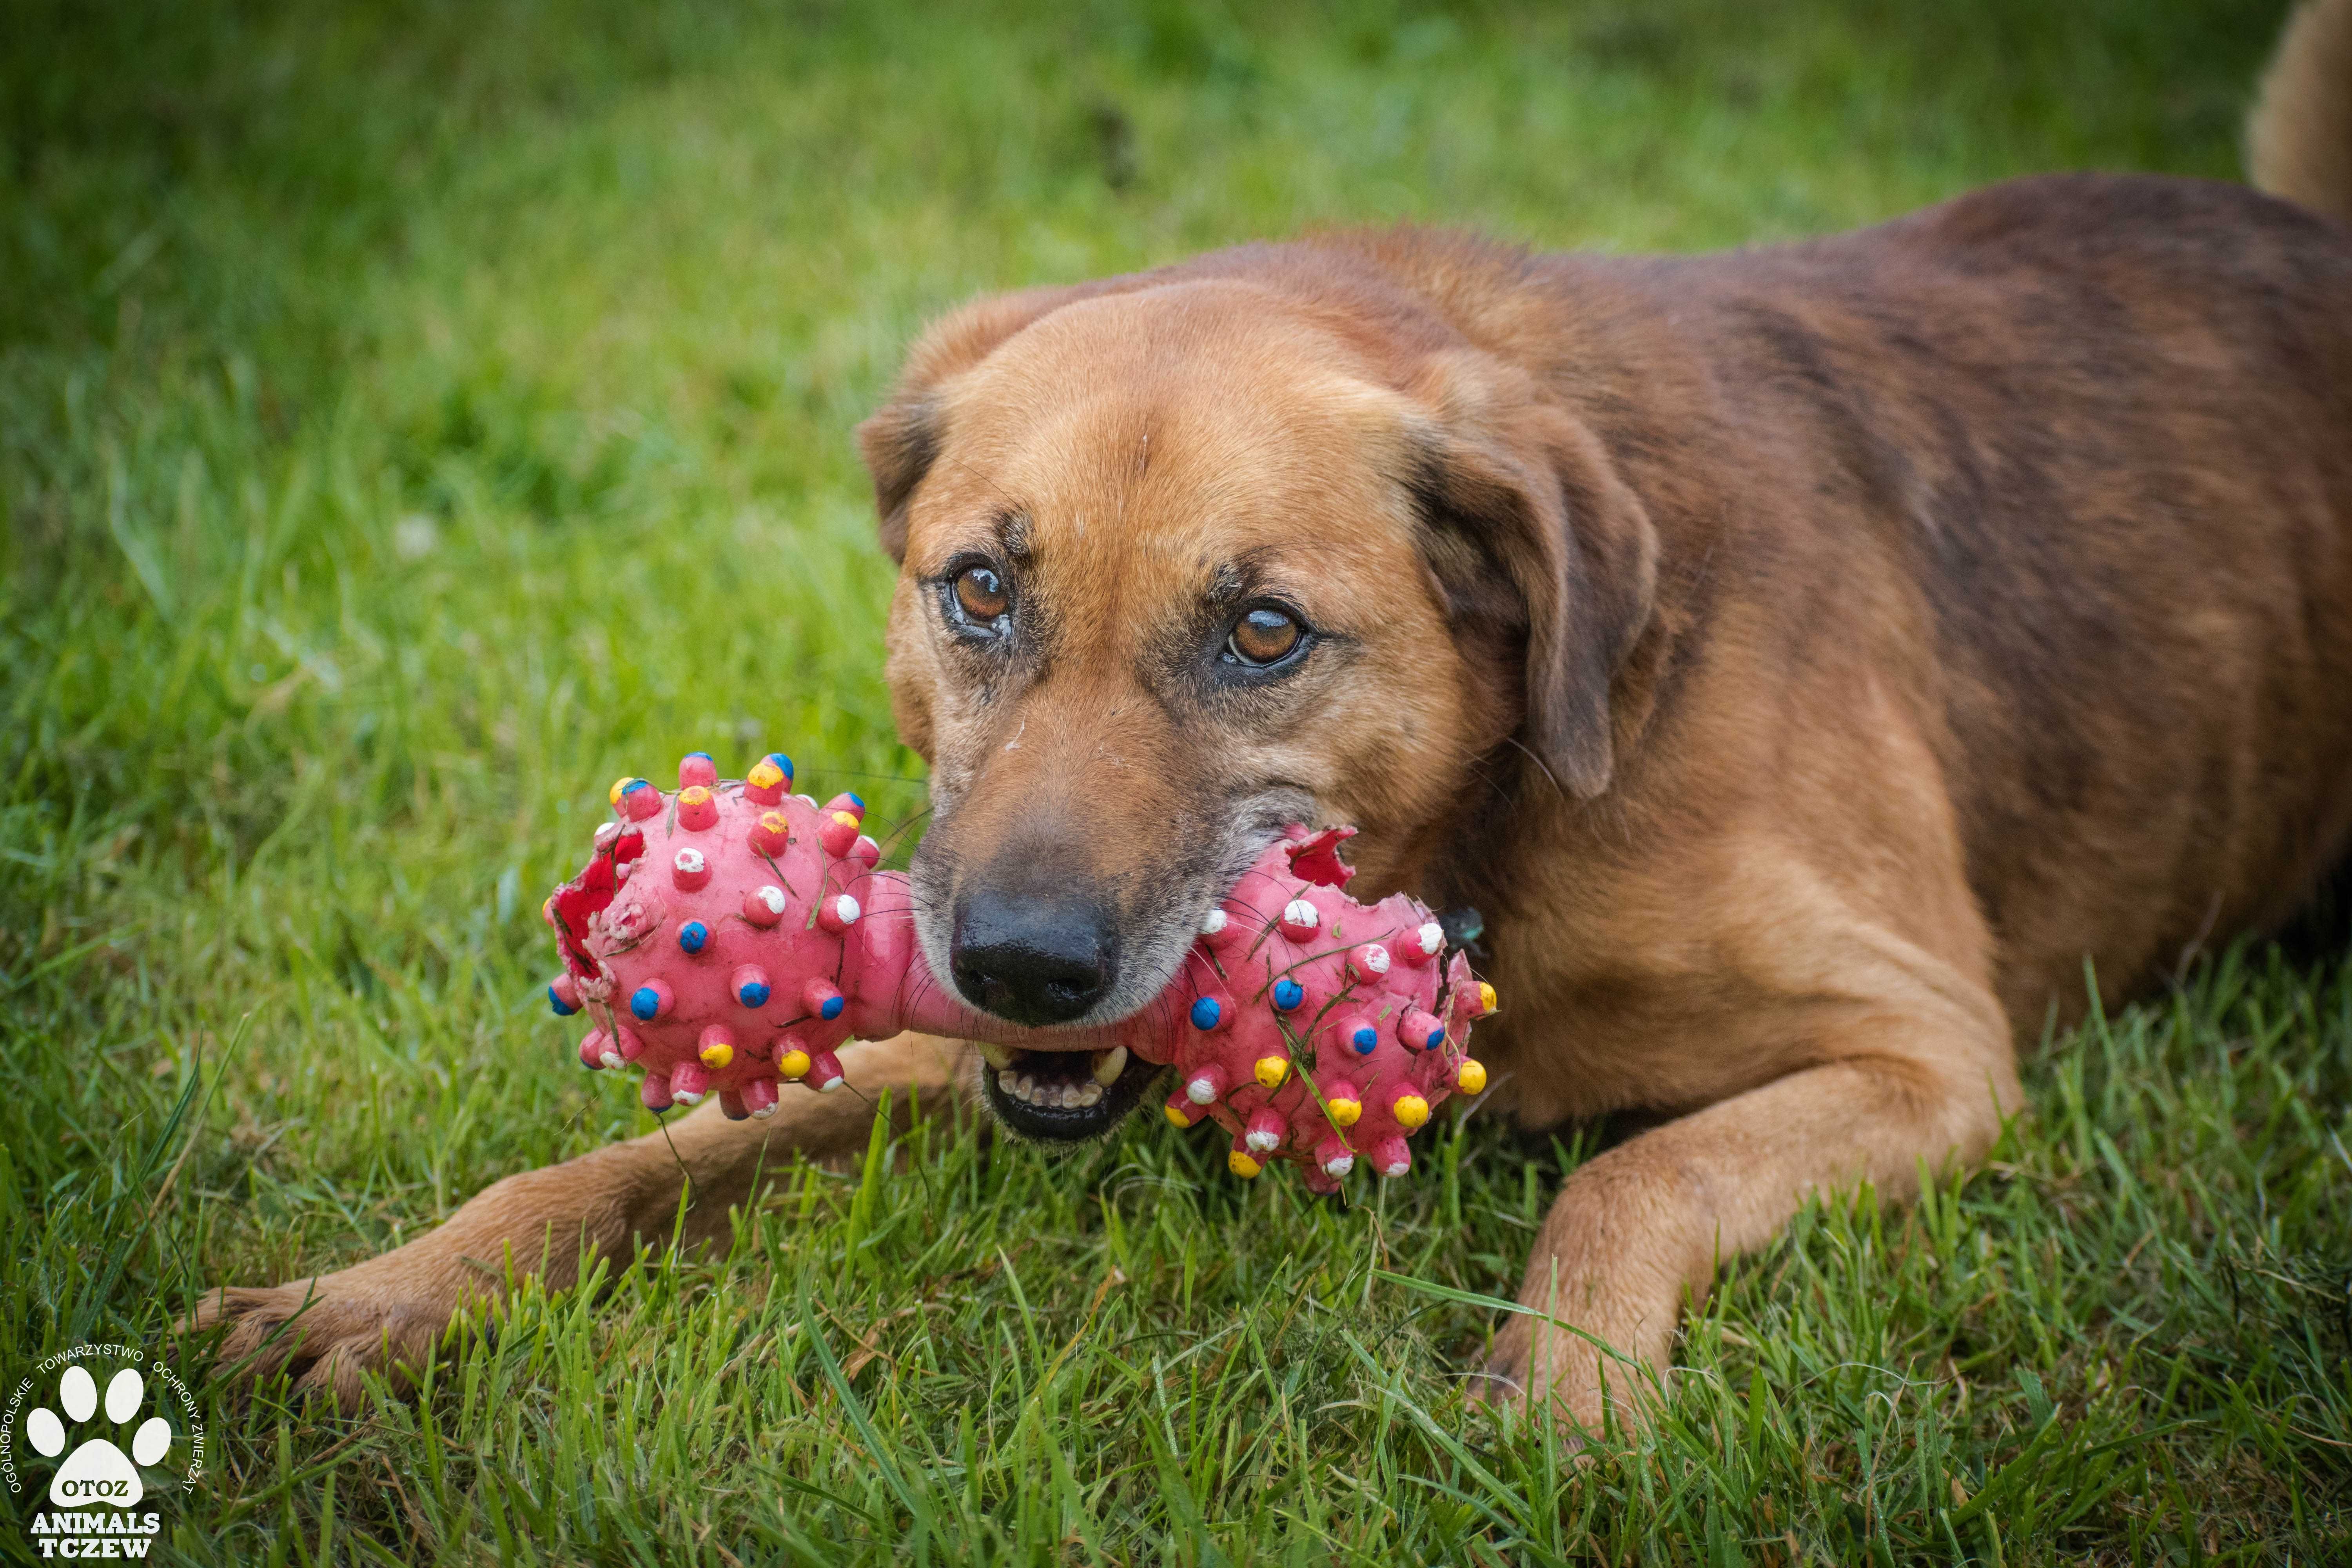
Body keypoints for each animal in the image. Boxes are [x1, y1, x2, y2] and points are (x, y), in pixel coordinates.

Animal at [188, 3, 2352, 1439]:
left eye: (1260, 631)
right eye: (981, 590)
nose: (1027, 964)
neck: (1490, 826)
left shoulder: (1926, 1049)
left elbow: (1629, 1173)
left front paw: (1563, 1396)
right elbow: (609, 1165)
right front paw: (380, 1288)